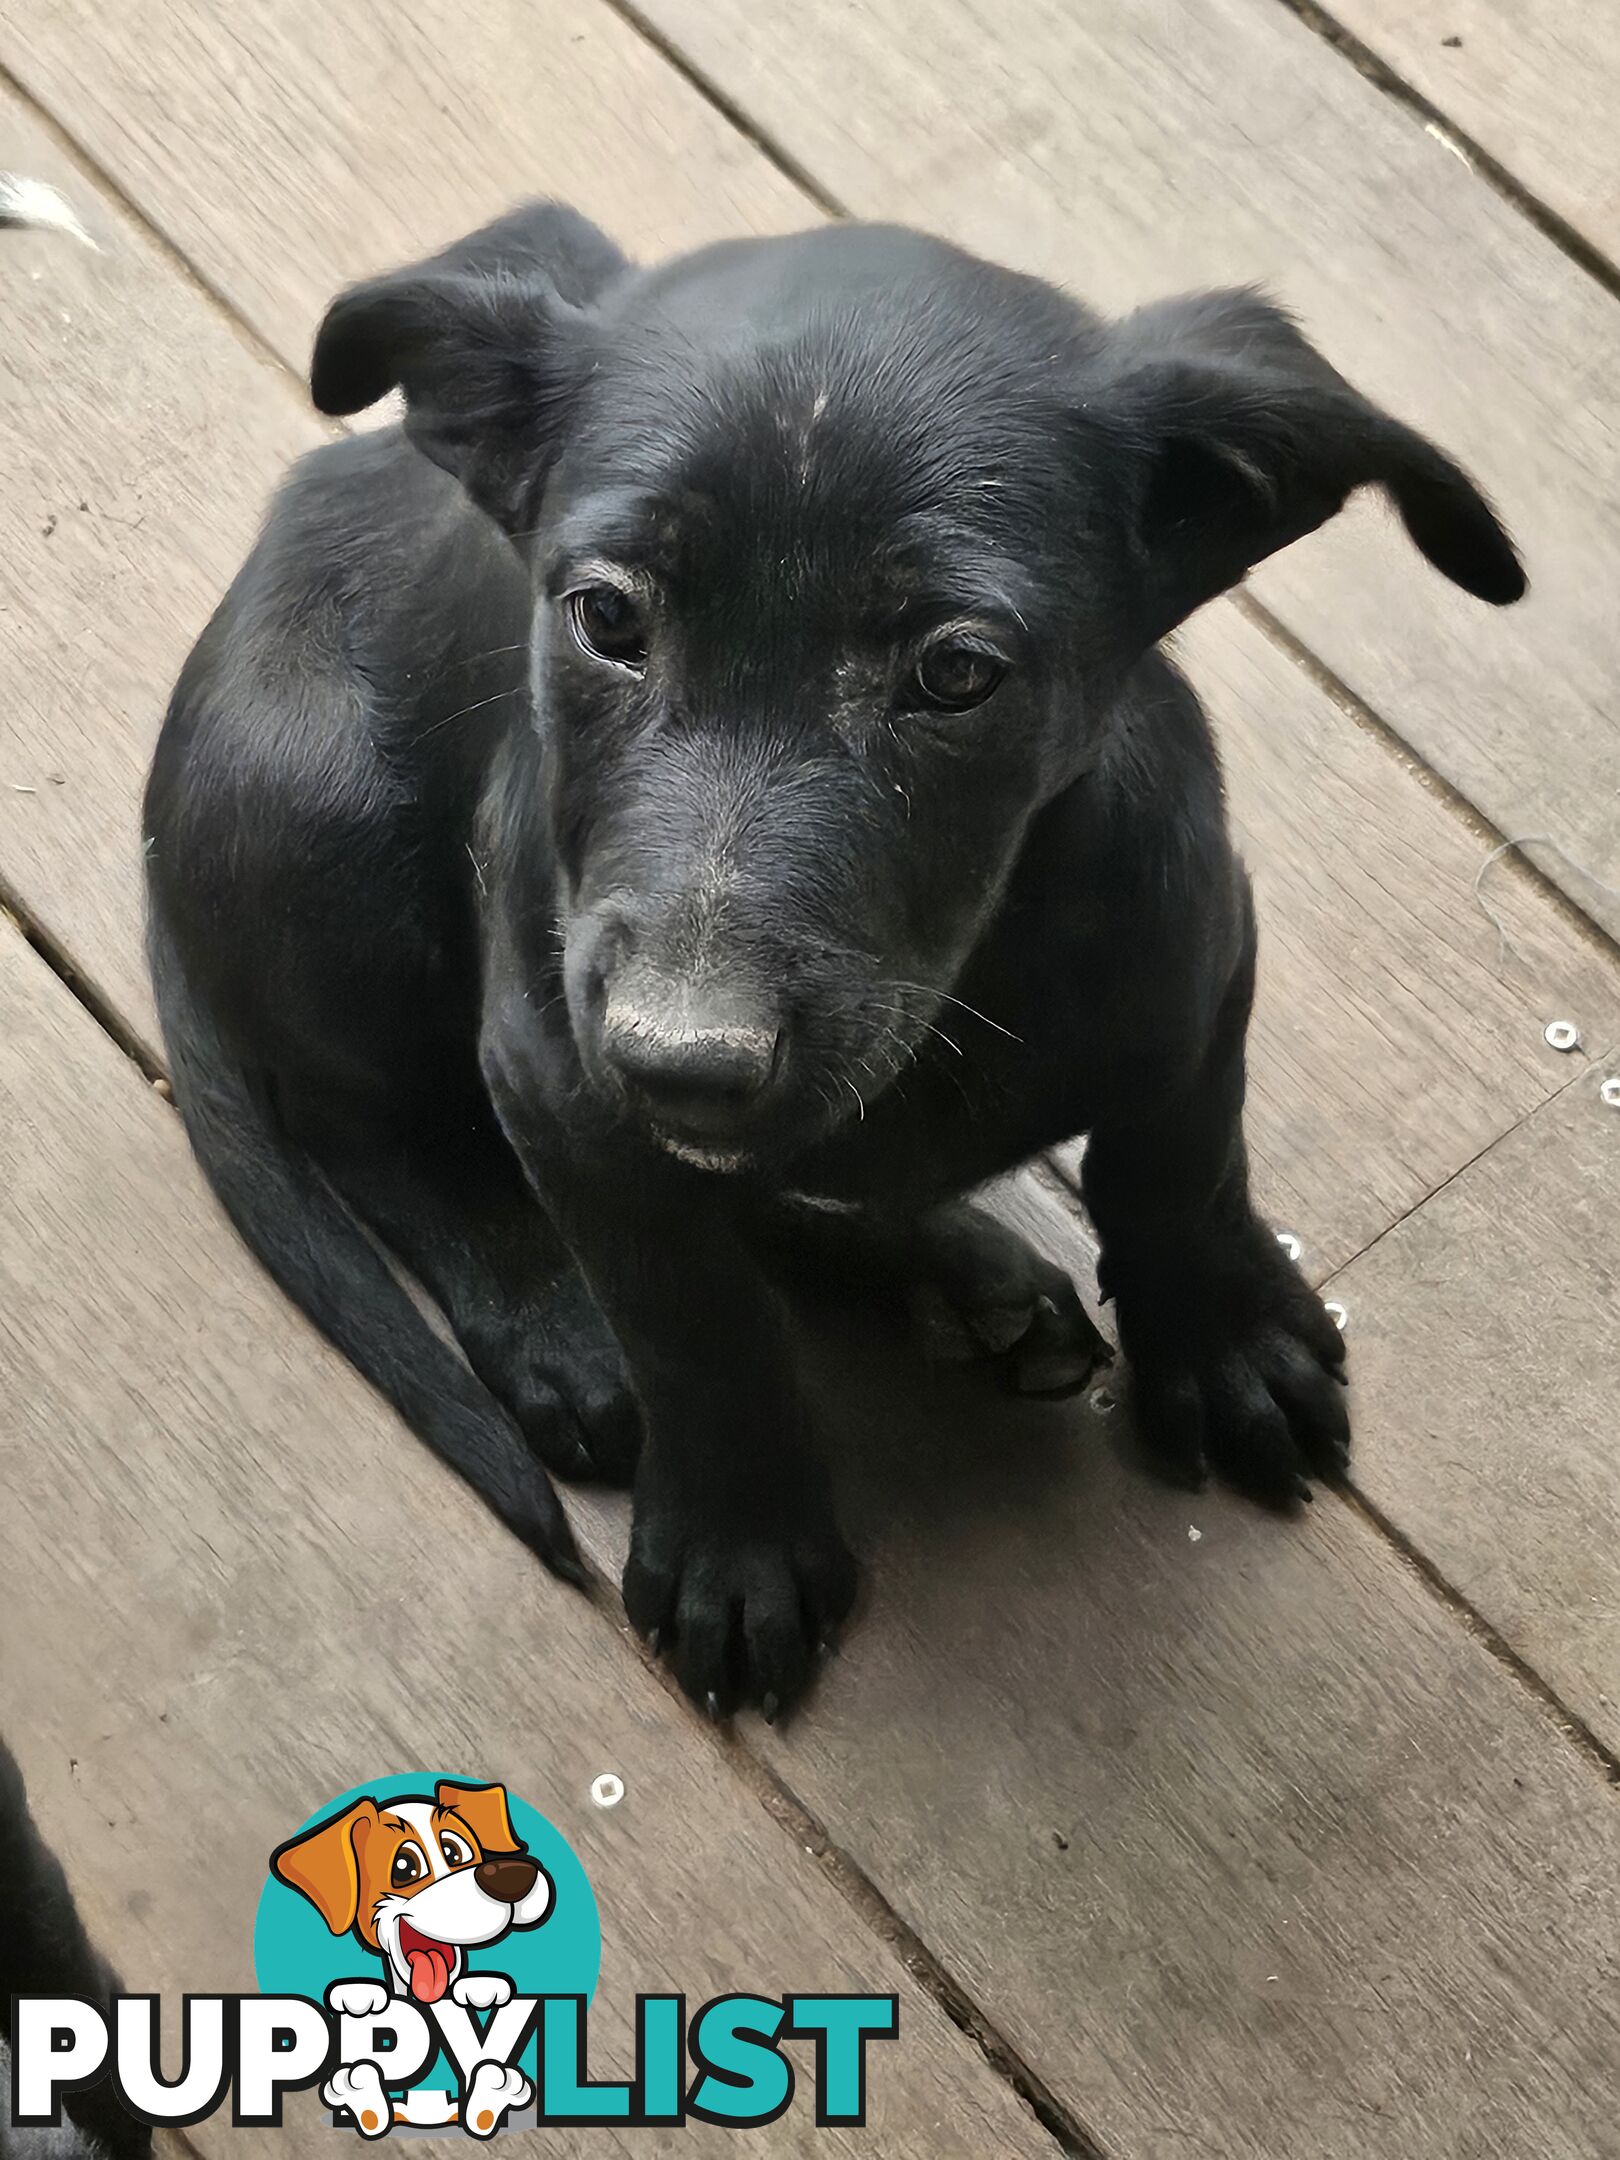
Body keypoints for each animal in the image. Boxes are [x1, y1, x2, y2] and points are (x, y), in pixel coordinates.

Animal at [145, 206, 1529, 1719]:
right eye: (606, 620)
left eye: (958, 673)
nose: (684, 1061)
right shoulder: (554, 1071)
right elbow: (692, 1320)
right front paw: (737, 1544)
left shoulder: (1200, 956)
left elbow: (1181, 1157)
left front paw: (1222, 1340)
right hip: (325, 825)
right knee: (382, 1132)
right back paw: (562, 1326)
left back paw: (956, 1274)